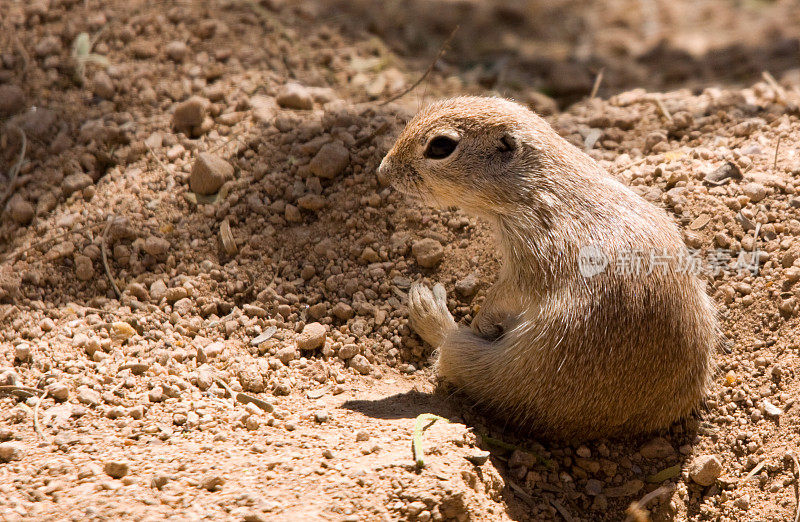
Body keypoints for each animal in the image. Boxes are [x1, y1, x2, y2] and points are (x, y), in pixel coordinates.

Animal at [378, 95, 720, 436]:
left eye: (440, 146)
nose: (384, 170)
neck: (535, 187)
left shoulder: (533, 253)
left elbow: (507, 293)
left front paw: (481, 321)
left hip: (492, 370)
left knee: (449, 346)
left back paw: (426, 304)